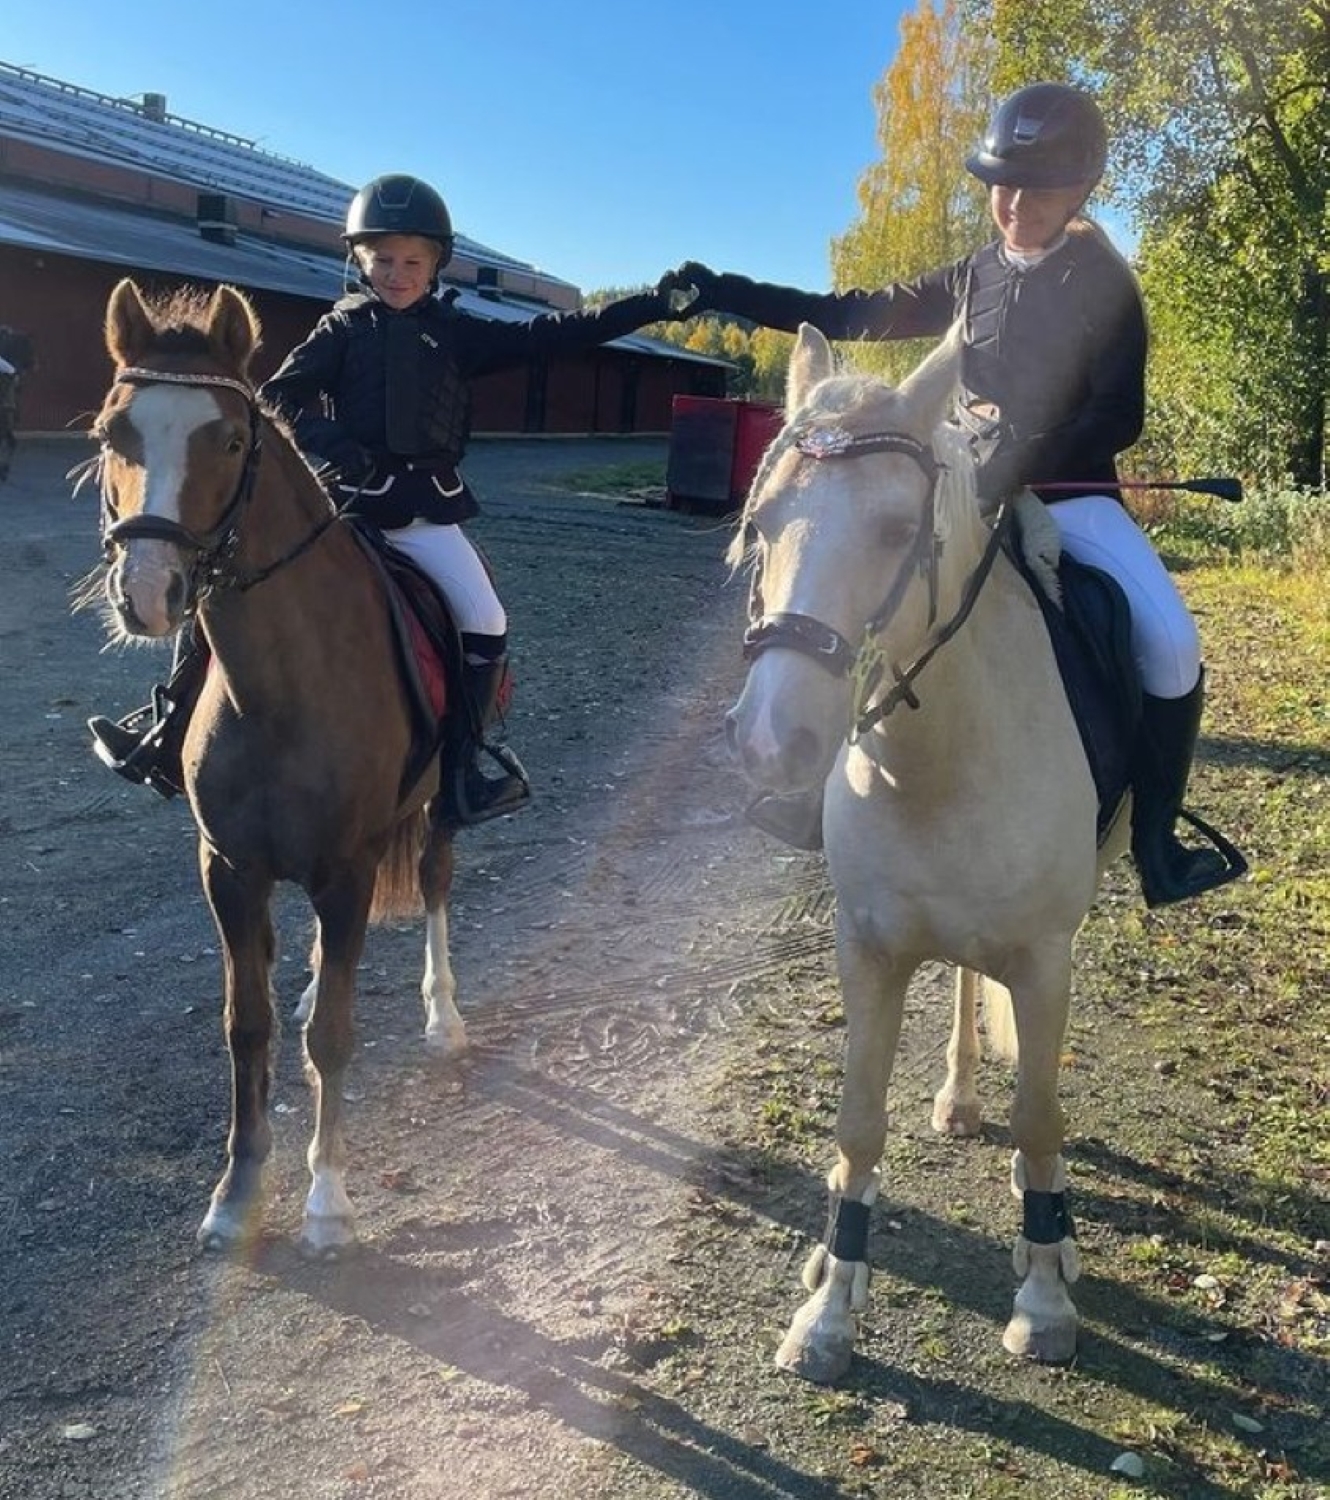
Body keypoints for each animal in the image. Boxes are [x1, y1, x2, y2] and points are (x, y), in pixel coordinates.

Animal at [86, 279, 466, 1259]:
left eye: (228, 440)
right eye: (110, 433)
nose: (149, 594)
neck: (282, 687)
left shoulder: (349, 869)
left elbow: (334, 1037)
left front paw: (327, 1201)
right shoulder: (229, 867)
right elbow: (246, 1026)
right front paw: (235, 1191)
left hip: (438, 813)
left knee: (437, 886)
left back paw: (445, 1015)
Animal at [725, 323, 1131, 1383]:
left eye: (894, 530)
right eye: (763, 521)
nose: (770, 742)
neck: (938, 757)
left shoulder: (1043, 957)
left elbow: (1041, 1113)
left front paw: (1044, 1298)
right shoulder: (868, 949)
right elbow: (858, 1124)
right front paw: (829, 1310)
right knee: (959, 985)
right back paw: (953, 1099)